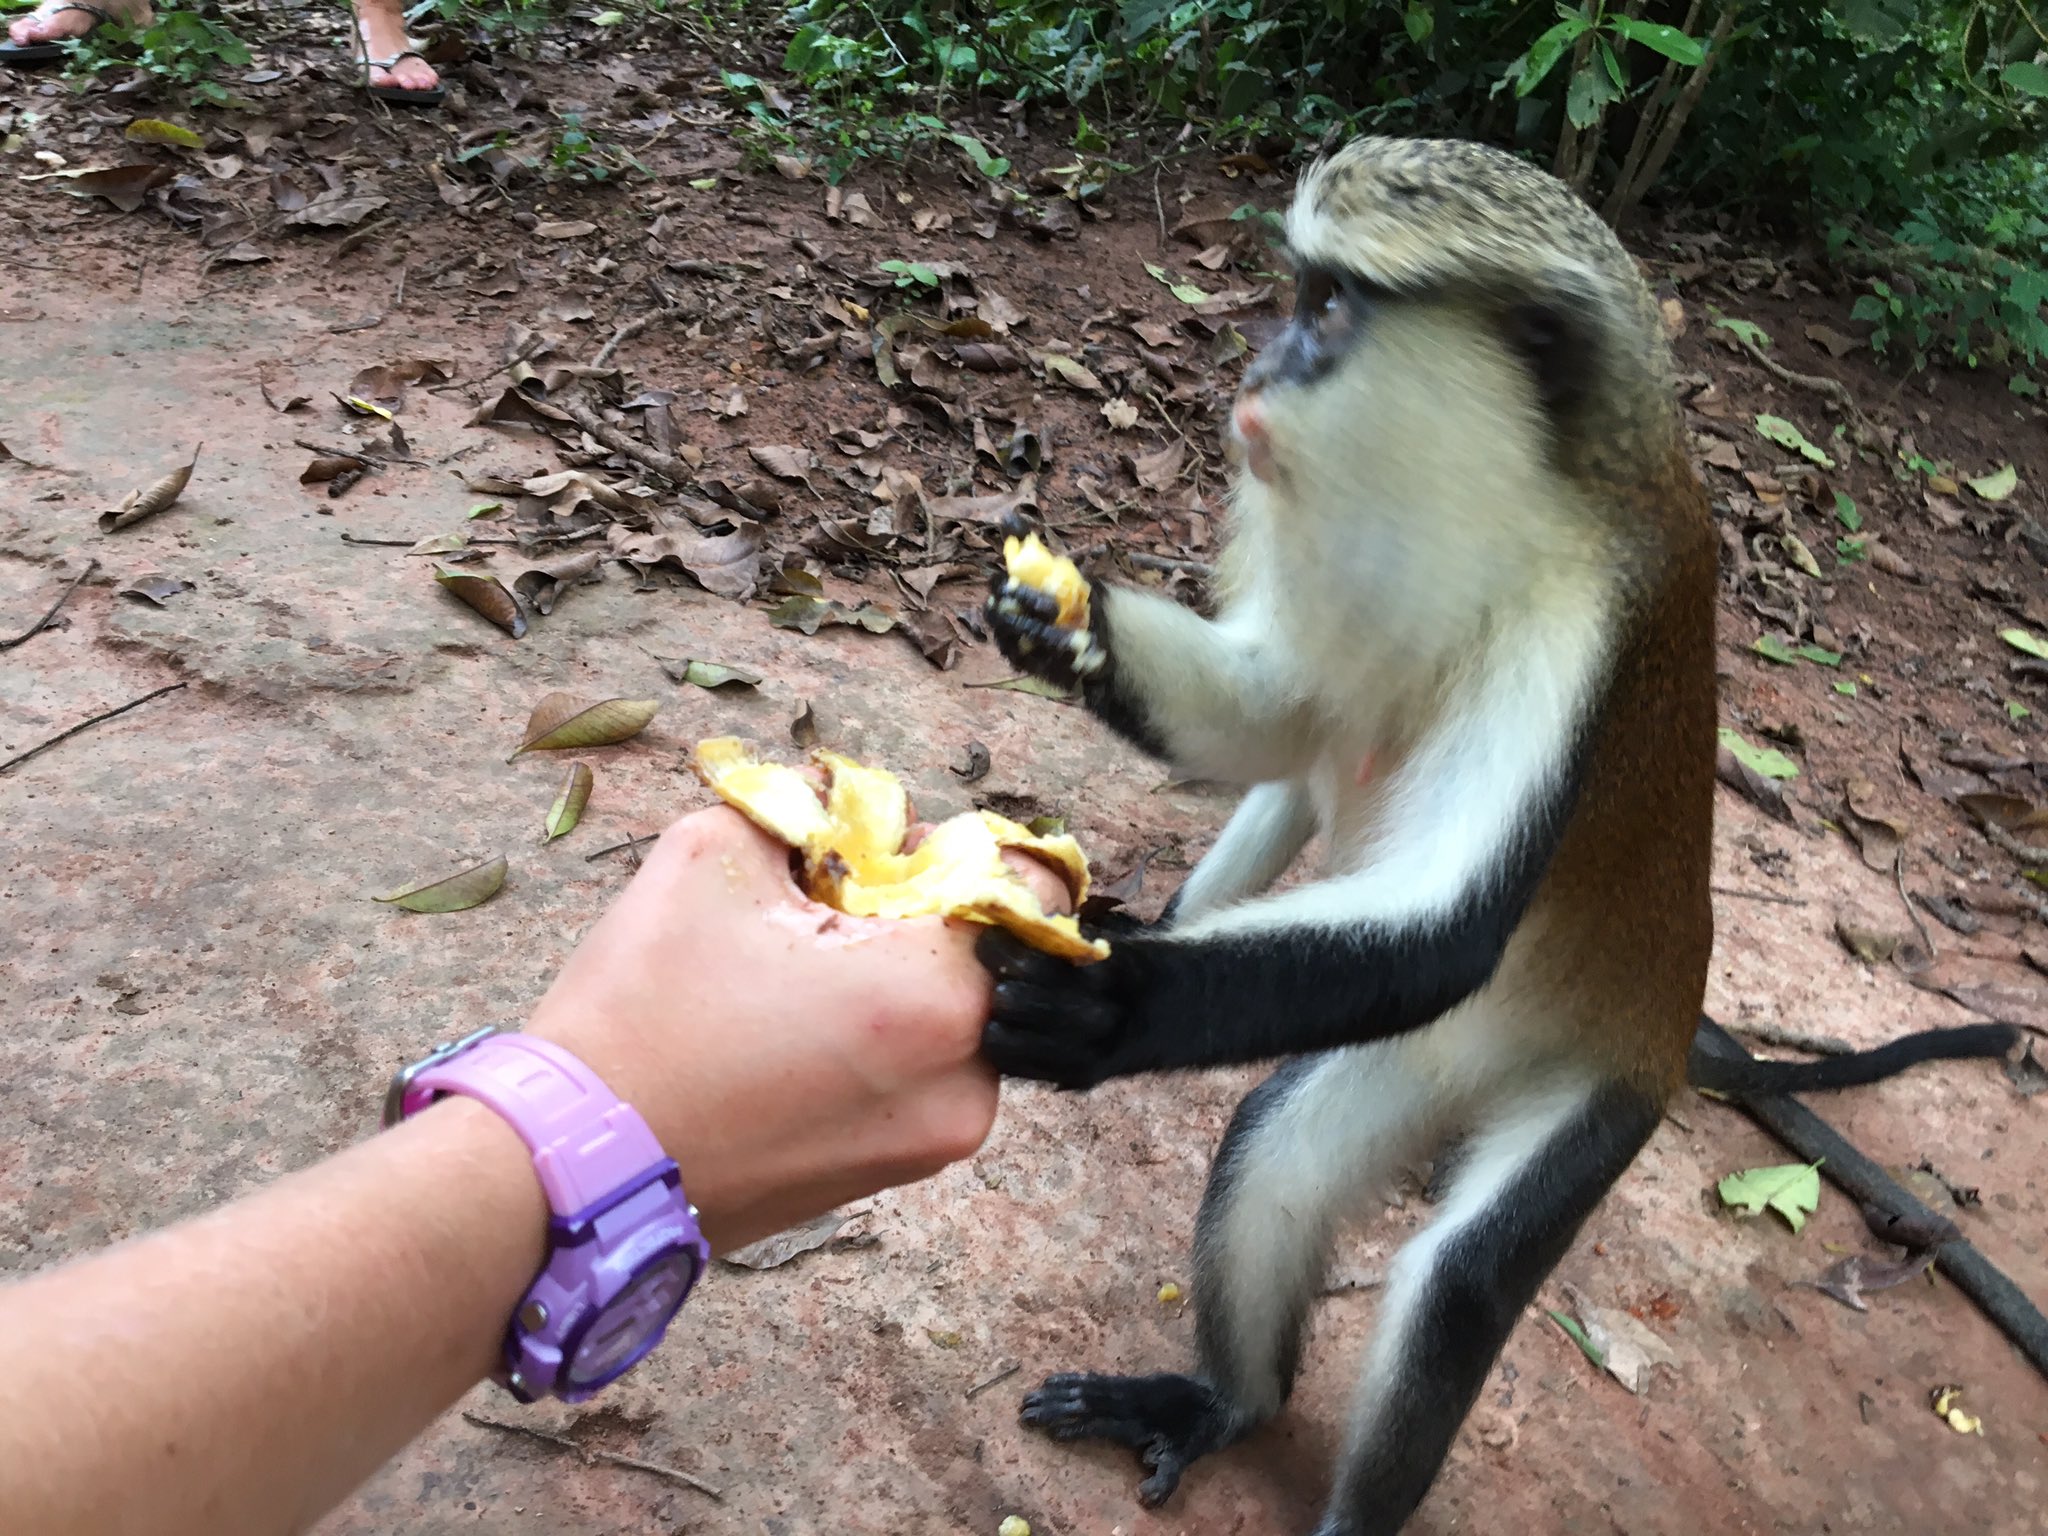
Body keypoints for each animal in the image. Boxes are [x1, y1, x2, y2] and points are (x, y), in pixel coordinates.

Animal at [974, 136, 2020, 1536]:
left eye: (1327, 309)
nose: (1258, 367)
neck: (1526, 491)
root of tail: (1659, 1012)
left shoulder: (1571, 629)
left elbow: (1447, 930)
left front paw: (1105, 1006)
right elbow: (1276, 715)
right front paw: (1062, 625)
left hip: (1597, 1090)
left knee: (1456, 1286)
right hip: (1420, 1060)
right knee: (1276, 1152)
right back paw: (1224, 1405)